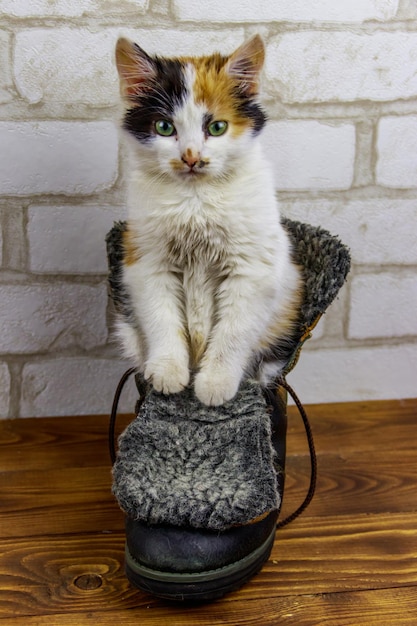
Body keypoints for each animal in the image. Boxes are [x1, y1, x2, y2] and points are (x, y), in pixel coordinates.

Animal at [114, 35, 302, 404]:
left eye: (216, 127)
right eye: (164, 127)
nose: (191, 157)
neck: (196, 201)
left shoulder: (252, 270)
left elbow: (233, 331)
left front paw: (216, 383)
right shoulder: (147, 260)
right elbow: (161, 318)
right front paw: (168, 372)